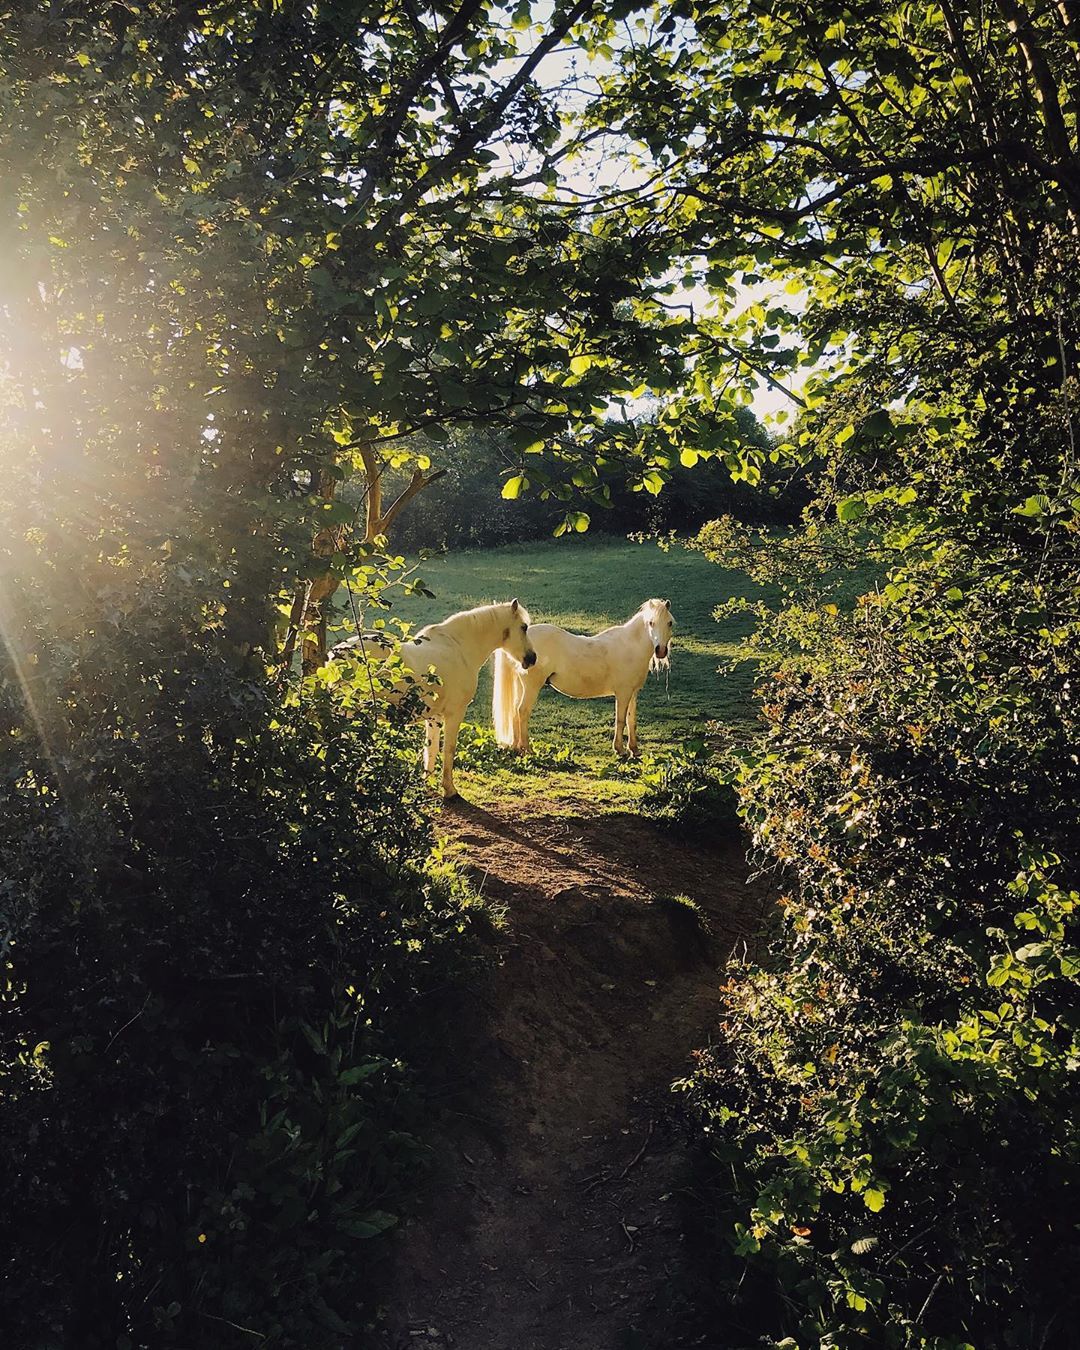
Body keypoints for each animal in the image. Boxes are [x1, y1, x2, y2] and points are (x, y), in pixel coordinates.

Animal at [329, 596, 531, 793]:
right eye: (523, 627)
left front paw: (428, 783)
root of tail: (336, 656)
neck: (459, 647)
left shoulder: (434, 716)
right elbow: (448, 750)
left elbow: (431, 749)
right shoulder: (454, 713)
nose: (532, 658)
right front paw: (449, 789)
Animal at [491, 602, 675, 761]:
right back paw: (527, 749)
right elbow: (621, 720)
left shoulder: (633, 692)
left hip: (521, 687)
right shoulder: (623, 693)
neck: (630, 646)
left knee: (515, 711)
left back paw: (516, 747)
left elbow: (631, 721)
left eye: (670, 623)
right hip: (531, 687)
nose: (660, 650)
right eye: (651, 623)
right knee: (522, 711)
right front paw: (620, 749)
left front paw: (634, 749)